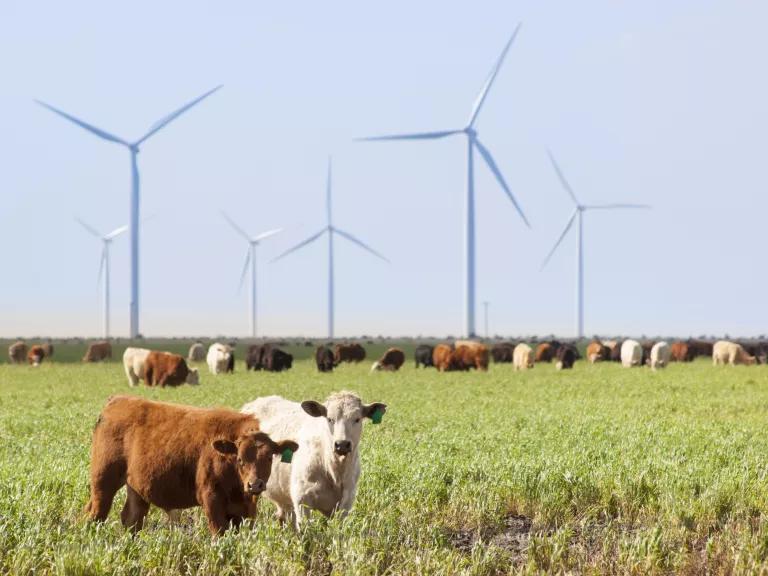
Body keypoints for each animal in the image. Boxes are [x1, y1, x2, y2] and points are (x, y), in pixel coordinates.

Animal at [85, 395, 297, 535]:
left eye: (269, 458)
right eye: (240, 459)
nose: (255, 485)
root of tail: (118, 400)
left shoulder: (244, 511)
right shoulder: (211, 499)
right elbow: (219, 534)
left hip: (137, 488)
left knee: (132, 519)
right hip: (103, 482)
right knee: (95, 514)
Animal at [240, 392, 386, 529]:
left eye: (357, 419)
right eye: (330, 419)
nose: (342, 444)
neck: (335, 472)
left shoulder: (346, 502)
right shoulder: (302, 499)